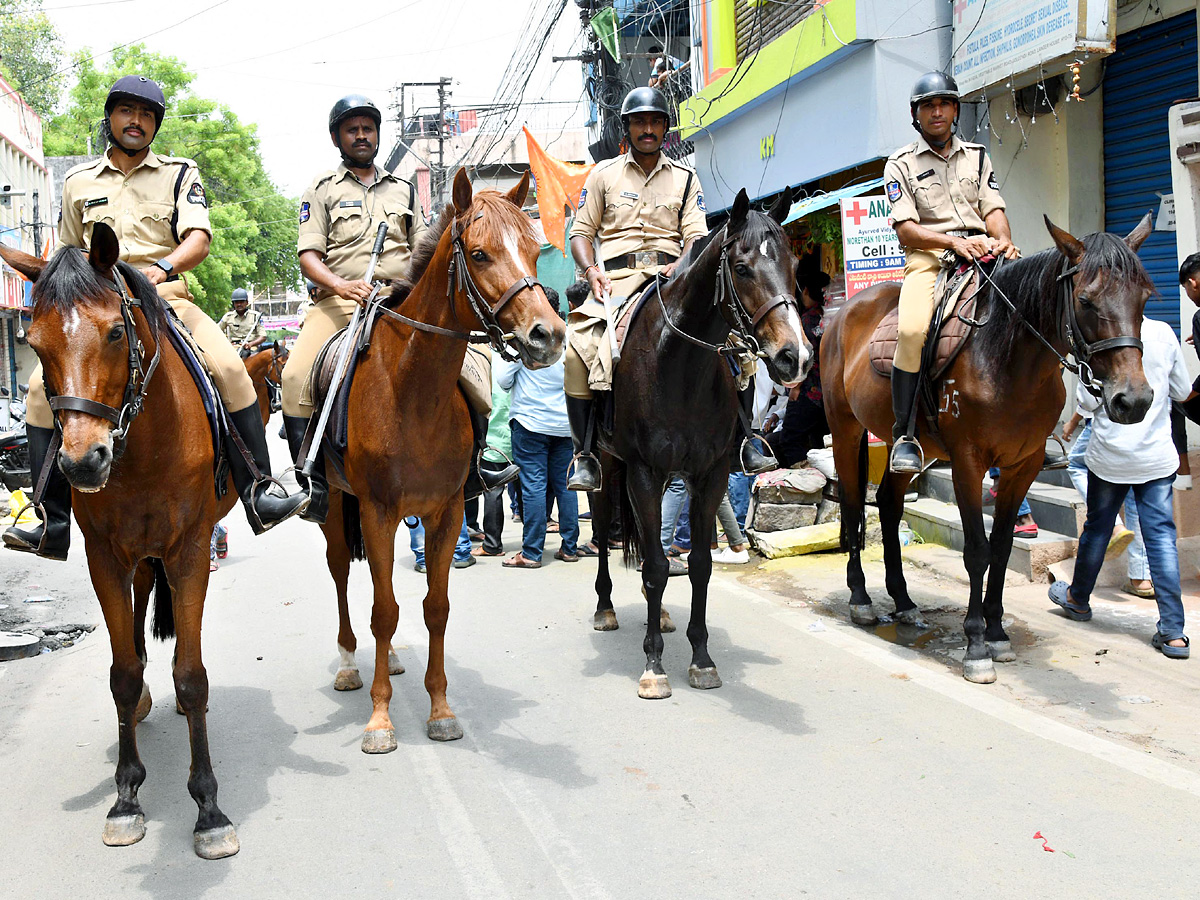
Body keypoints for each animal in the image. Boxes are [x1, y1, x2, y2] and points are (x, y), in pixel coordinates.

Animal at [0, 224, 243, 859]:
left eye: (114, 330)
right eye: (34, 343)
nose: (83, 462)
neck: (143, 444)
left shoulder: (189, 551)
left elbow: (192, 672)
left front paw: (208, 808)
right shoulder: (104, 557)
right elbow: (123, 672)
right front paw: (127, 797)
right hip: (134, 556)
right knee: (136, 621)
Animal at [309, 169, 561, 753]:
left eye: (533, 250)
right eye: (481, 254)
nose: (549, 335)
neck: (414, 391)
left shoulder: (445, 512)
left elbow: (435, 609)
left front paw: (441, 709)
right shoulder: (377, 511)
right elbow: (383, 611)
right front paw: (380, 718)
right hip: (334, 504)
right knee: (341, 571)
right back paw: (350, 664)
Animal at [588, 188, 811, 696]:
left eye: (793, 265)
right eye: (742, 267)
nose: (796, 357)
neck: (679, 364)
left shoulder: (709, 474)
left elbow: (698, 566)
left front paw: (702, 657)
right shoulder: (644, 472)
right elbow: (654, 566)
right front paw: (653, 666)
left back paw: (661, 615)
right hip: (608, 466)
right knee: (605, 529)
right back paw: (605, 608)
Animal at [825, 214, 1152, 686]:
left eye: (1144, 297)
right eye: (1087, 301)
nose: (1134, 400)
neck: (1009, 358)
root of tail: (844, 312)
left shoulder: (1023, 465)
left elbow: (1000, 548)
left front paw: (997, 634)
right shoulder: (968, 463)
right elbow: (977, 551)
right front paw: (976, 645)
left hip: (907, 444)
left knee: (887, 501)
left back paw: (903, 603)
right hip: (846, 429)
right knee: (853, 504)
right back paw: (861, 599)